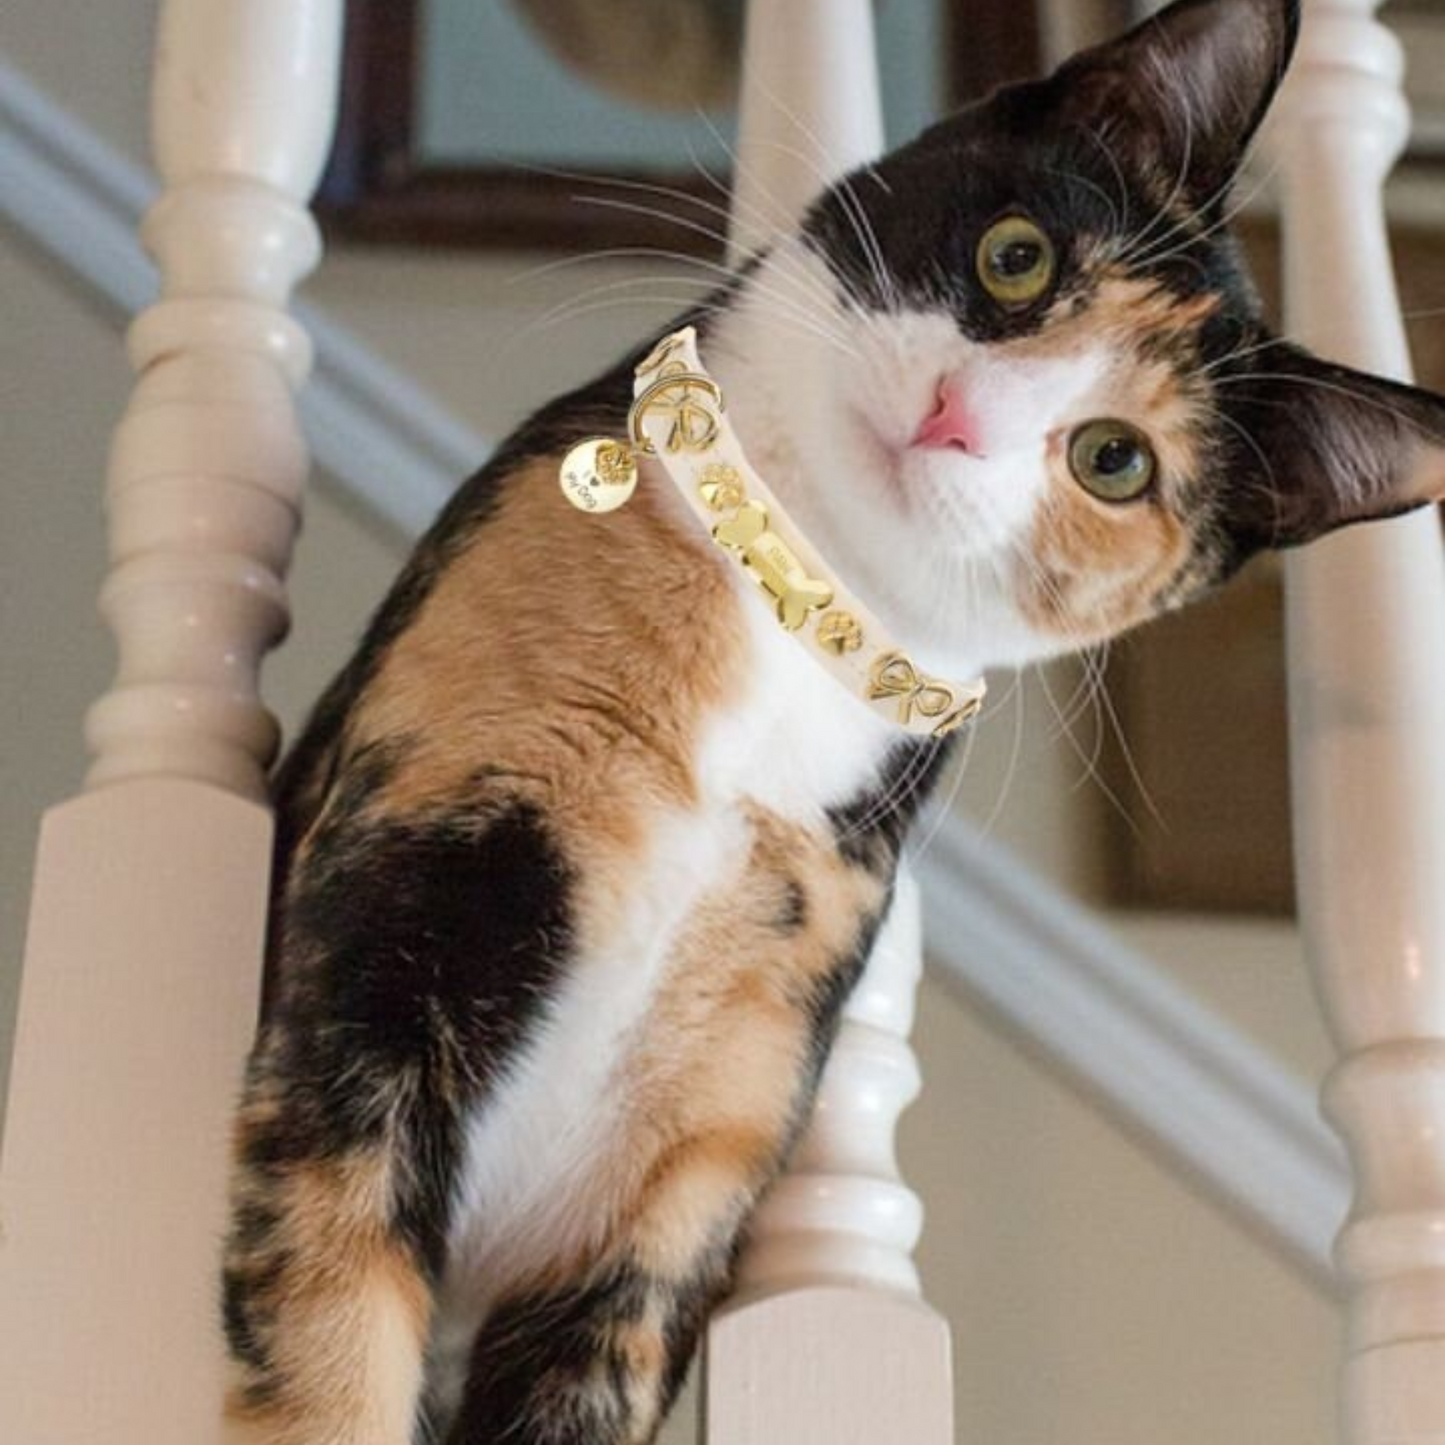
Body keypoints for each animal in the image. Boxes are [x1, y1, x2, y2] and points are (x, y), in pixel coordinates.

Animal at [219, 2, 1445, 1445]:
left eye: (1113, 460)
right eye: (1016, 257)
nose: (956, 418)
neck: (785, 604)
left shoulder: (683, 1179)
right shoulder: (390, 926)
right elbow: (330, 1337)